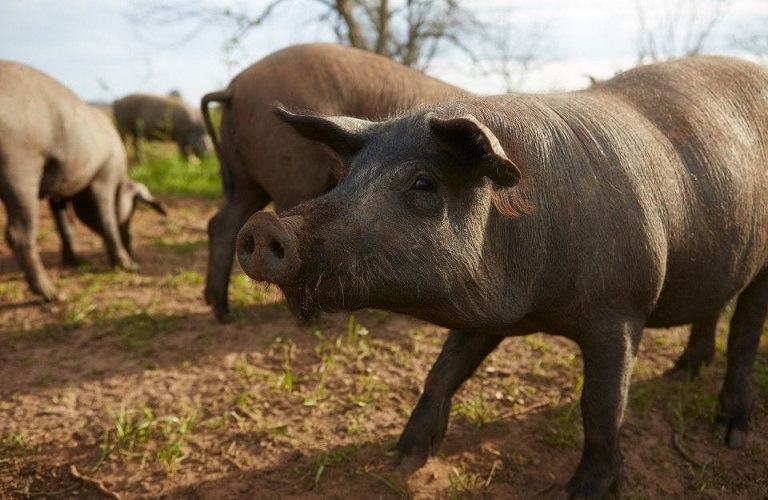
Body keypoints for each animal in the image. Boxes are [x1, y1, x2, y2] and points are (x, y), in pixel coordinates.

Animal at [0, 59, 165, 300]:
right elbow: (107, 219)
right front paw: (129, 266)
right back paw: (54, 294)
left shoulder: (58, 189)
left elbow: (65, 225)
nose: (132, 249)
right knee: (18, 232)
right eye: (133, 208)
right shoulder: (105, 175)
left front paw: (75, 262)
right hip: (19, 167)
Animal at [236, 56, 768, 498]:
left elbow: (600, 404)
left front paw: (581, 492)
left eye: (424, 182)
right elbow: (443, 371)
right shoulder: (485, 313)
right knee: (714, 307)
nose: (266, 226)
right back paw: (682, 373)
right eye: (345, 179)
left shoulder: (622, 308)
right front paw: (402, 458)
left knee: (744, 333)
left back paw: (731, 433)